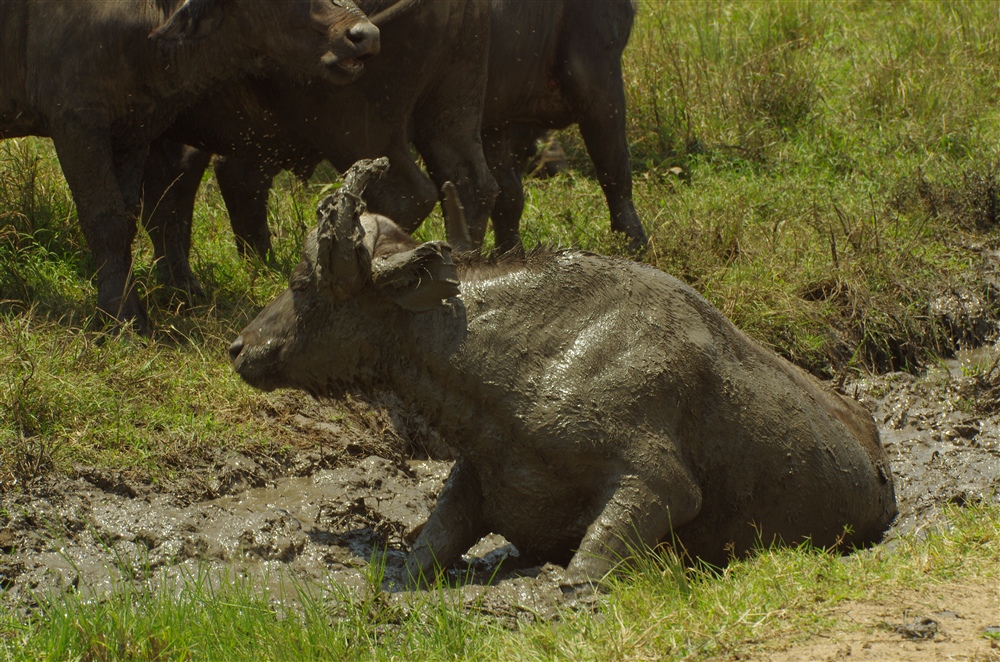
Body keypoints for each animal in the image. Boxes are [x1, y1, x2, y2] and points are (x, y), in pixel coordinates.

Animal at [0, 0, 378, 332]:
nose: (365, 35)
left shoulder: (133, 133)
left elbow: (129, 217)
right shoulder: (76, 122)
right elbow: (105, 219)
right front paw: (120, 317)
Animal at [229, 161, 900, 588]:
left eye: (303, 283)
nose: (238, 346)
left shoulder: (658, 482)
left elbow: (582, 574)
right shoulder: (473, 482)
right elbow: (429, 545)